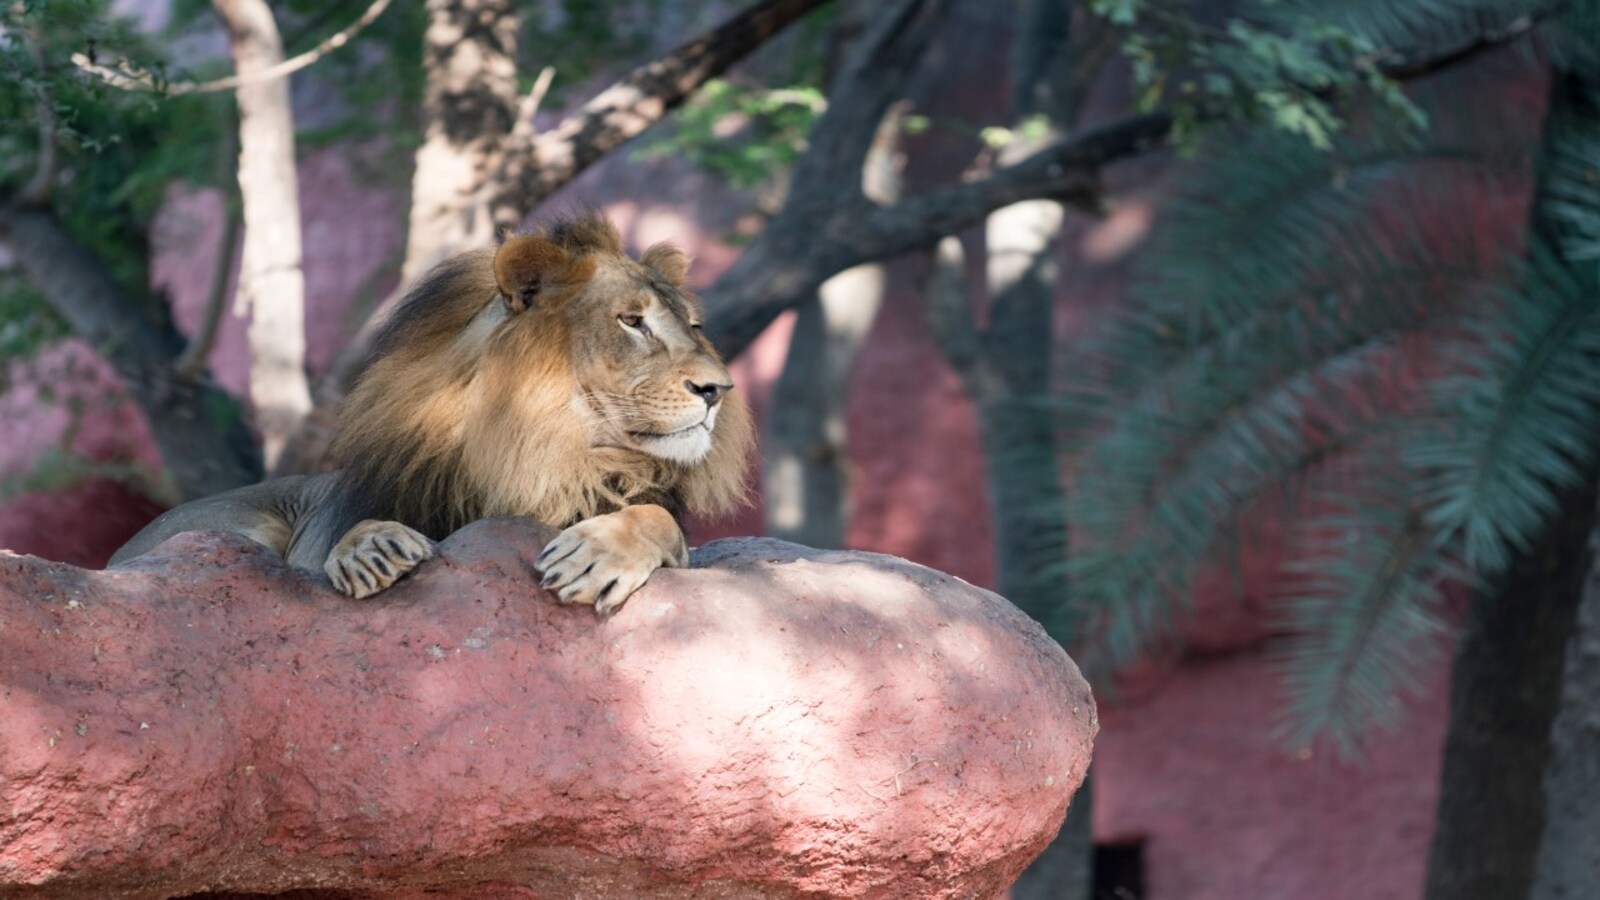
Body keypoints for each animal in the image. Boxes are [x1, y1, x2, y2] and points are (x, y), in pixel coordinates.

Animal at [116, 212, 752, 611]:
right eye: (632, 320)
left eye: (695, 326)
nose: (718, 389)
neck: (550, 449)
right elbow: (344, 539)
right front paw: (371, 548)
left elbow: (658, 519)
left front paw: (597, 554)